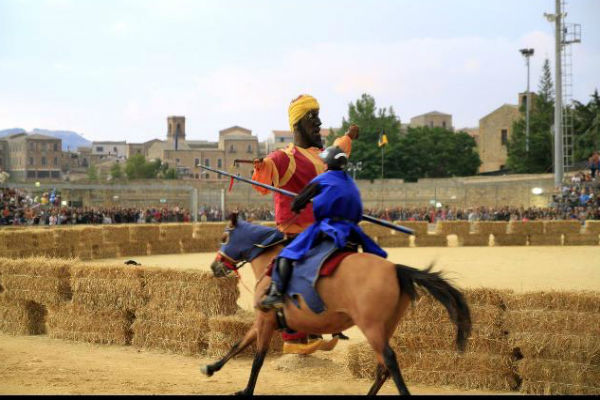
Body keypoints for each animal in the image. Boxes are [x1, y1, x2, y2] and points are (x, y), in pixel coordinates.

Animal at [204, 214, 472, 396]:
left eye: (224, 238)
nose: (215, 266)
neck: (270, 262)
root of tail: (395, 269)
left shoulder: (266, 320)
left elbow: (258, 358)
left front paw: (246, 390)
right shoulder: (262, 320)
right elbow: (238, 344)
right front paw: (211, 367)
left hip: (371, 327)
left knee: (389, 361)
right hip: (386, 327)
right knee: (383, 367)